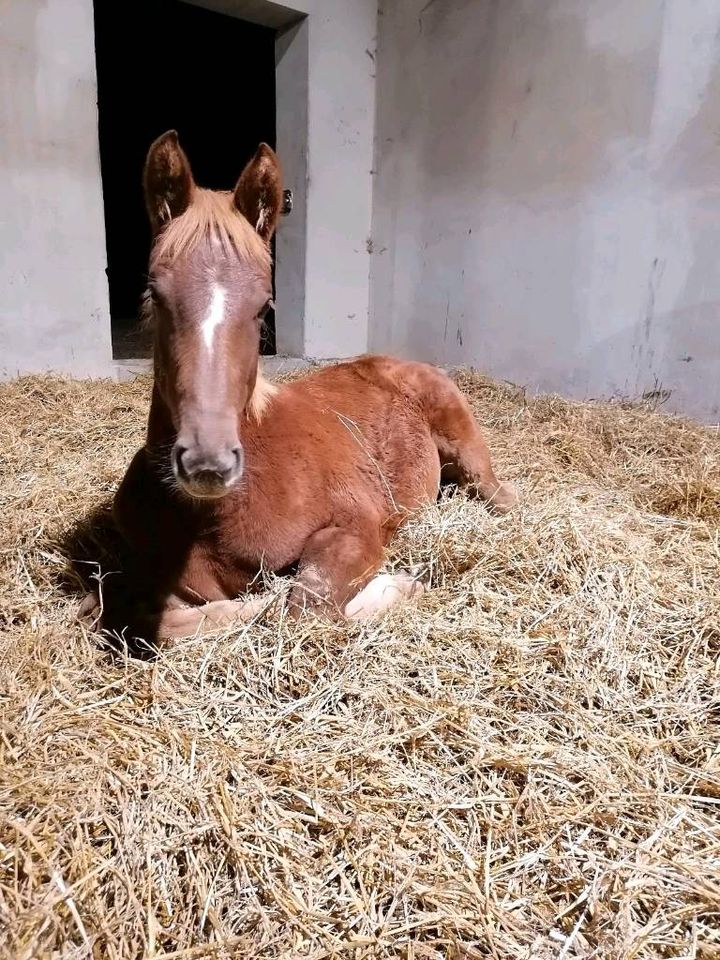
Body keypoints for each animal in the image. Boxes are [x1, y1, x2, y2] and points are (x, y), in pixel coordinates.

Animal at [81, 127, 516, 636]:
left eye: (265, 305)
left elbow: (301, 604)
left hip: (468, 451)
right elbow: (149, 617)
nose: (208, 463)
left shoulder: (357, 525)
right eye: (155, 293)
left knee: (500, 495)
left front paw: (398, 587)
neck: (215, 519)